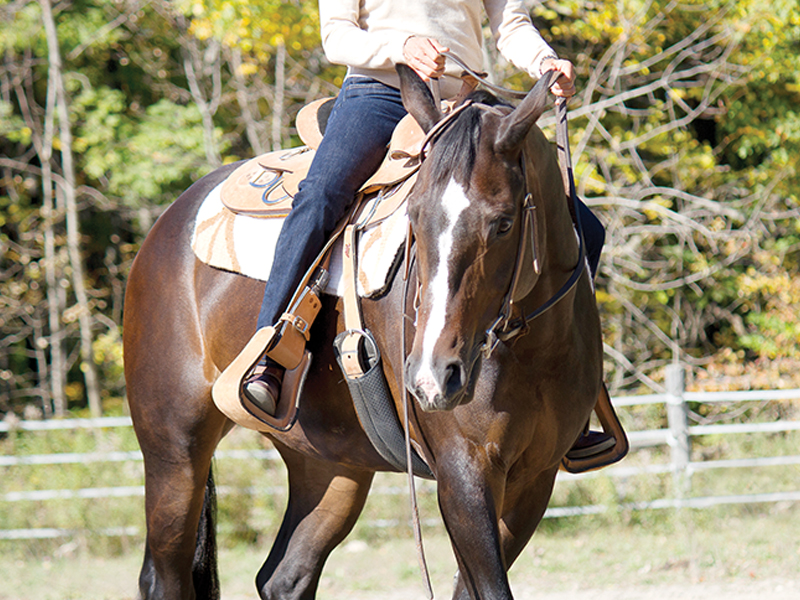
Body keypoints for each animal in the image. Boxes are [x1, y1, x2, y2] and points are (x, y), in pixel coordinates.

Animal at [123, 65, 602, 600]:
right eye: (413, 217)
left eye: (502, 224)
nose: (433, 378)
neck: (534, 350)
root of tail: (167, 225)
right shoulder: (463, 474)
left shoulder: (535, 479)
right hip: (174, 450)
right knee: (164, 577)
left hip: (332, 465)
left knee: (285, 577)